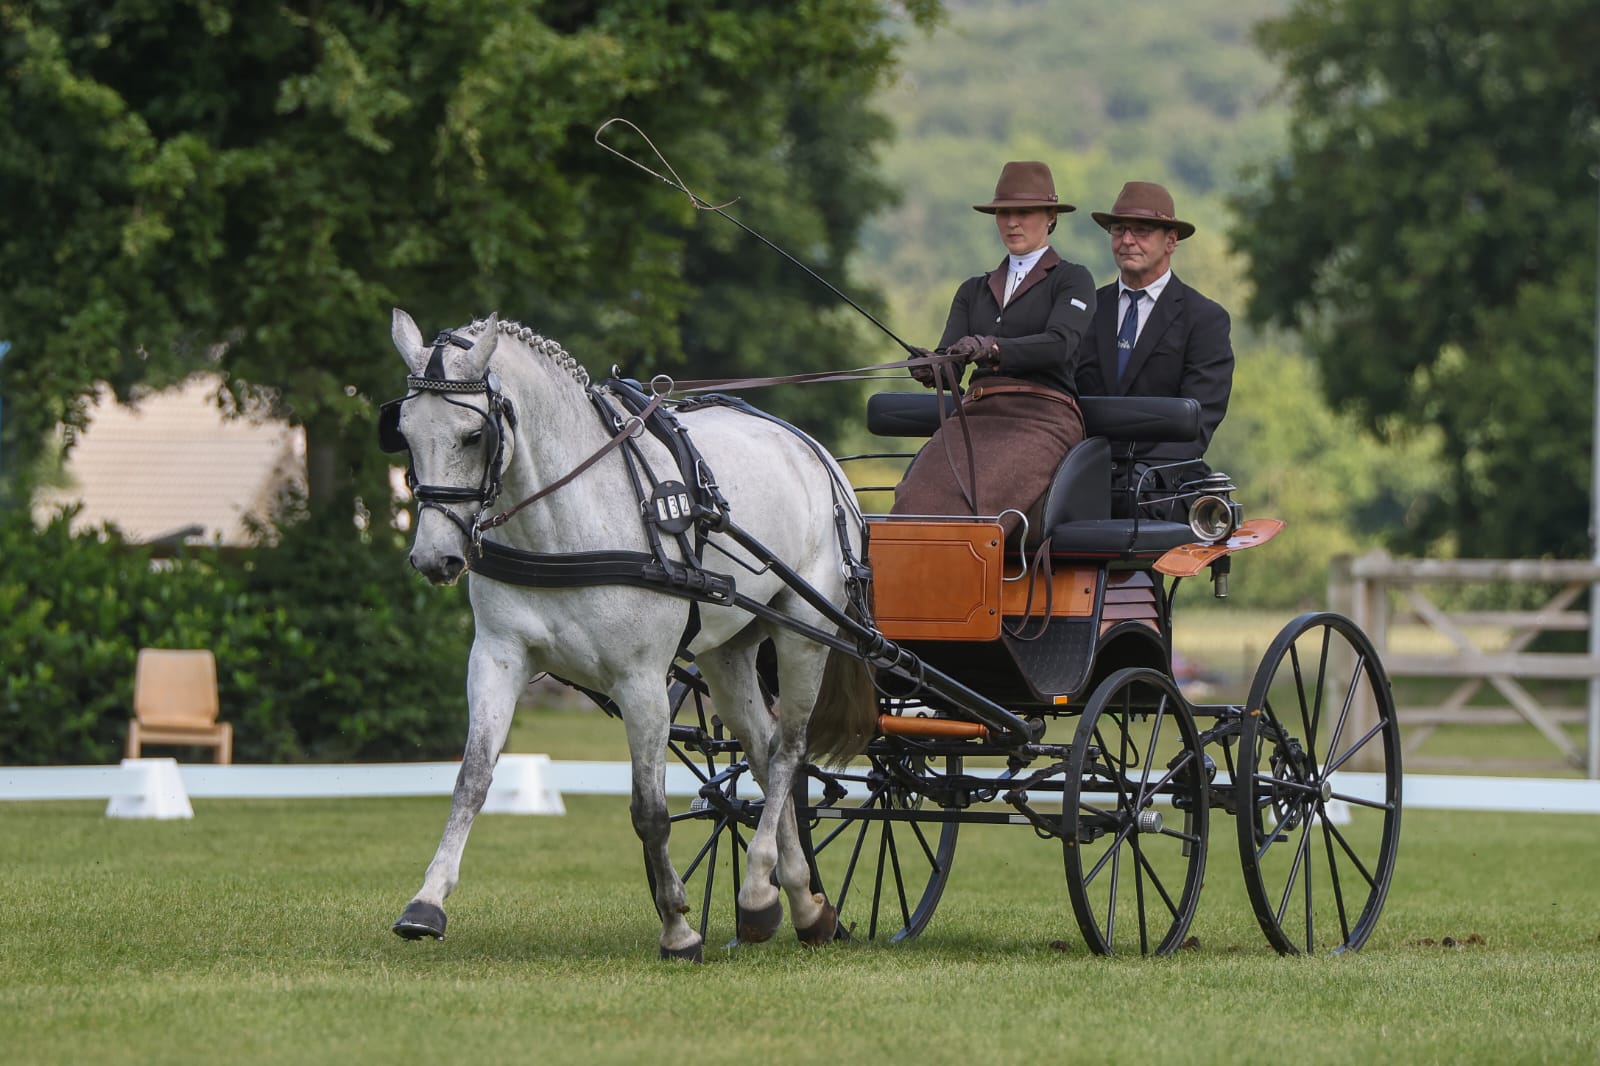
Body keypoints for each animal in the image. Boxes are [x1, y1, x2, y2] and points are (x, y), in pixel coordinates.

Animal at [383, 309, 876, 961]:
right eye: (405, 432)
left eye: (471, 436)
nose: (434, 558)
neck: (565, 522)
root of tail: (816, 453)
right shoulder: (497, 657)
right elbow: (472, 781)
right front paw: (426, 903)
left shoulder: (641, 680)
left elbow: (650, 810)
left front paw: (678, 928)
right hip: (729, 652)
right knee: (766, 751)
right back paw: (796, 901)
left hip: (807, 632)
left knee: (790, 749)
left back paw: (758, 888)